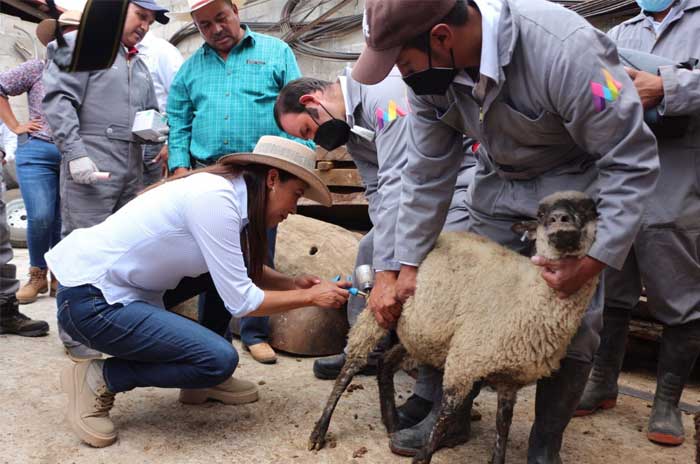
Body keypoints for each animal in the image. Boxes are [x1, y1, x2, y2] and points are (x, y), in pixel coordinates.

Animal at [308, 190, 600, 462]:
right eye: (541, 214)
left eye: (590, 209)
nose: (560, 219)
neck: (528, 296)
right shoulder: (465, 359)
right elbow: (446, 413)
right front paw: (423, 455)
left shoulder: (509, 380)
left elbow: (502, 427)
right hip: (380, 308)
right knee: (351, 367)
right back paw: (319, 430)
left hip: (421, 331)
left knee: (385, 363)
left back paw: (391, 422)